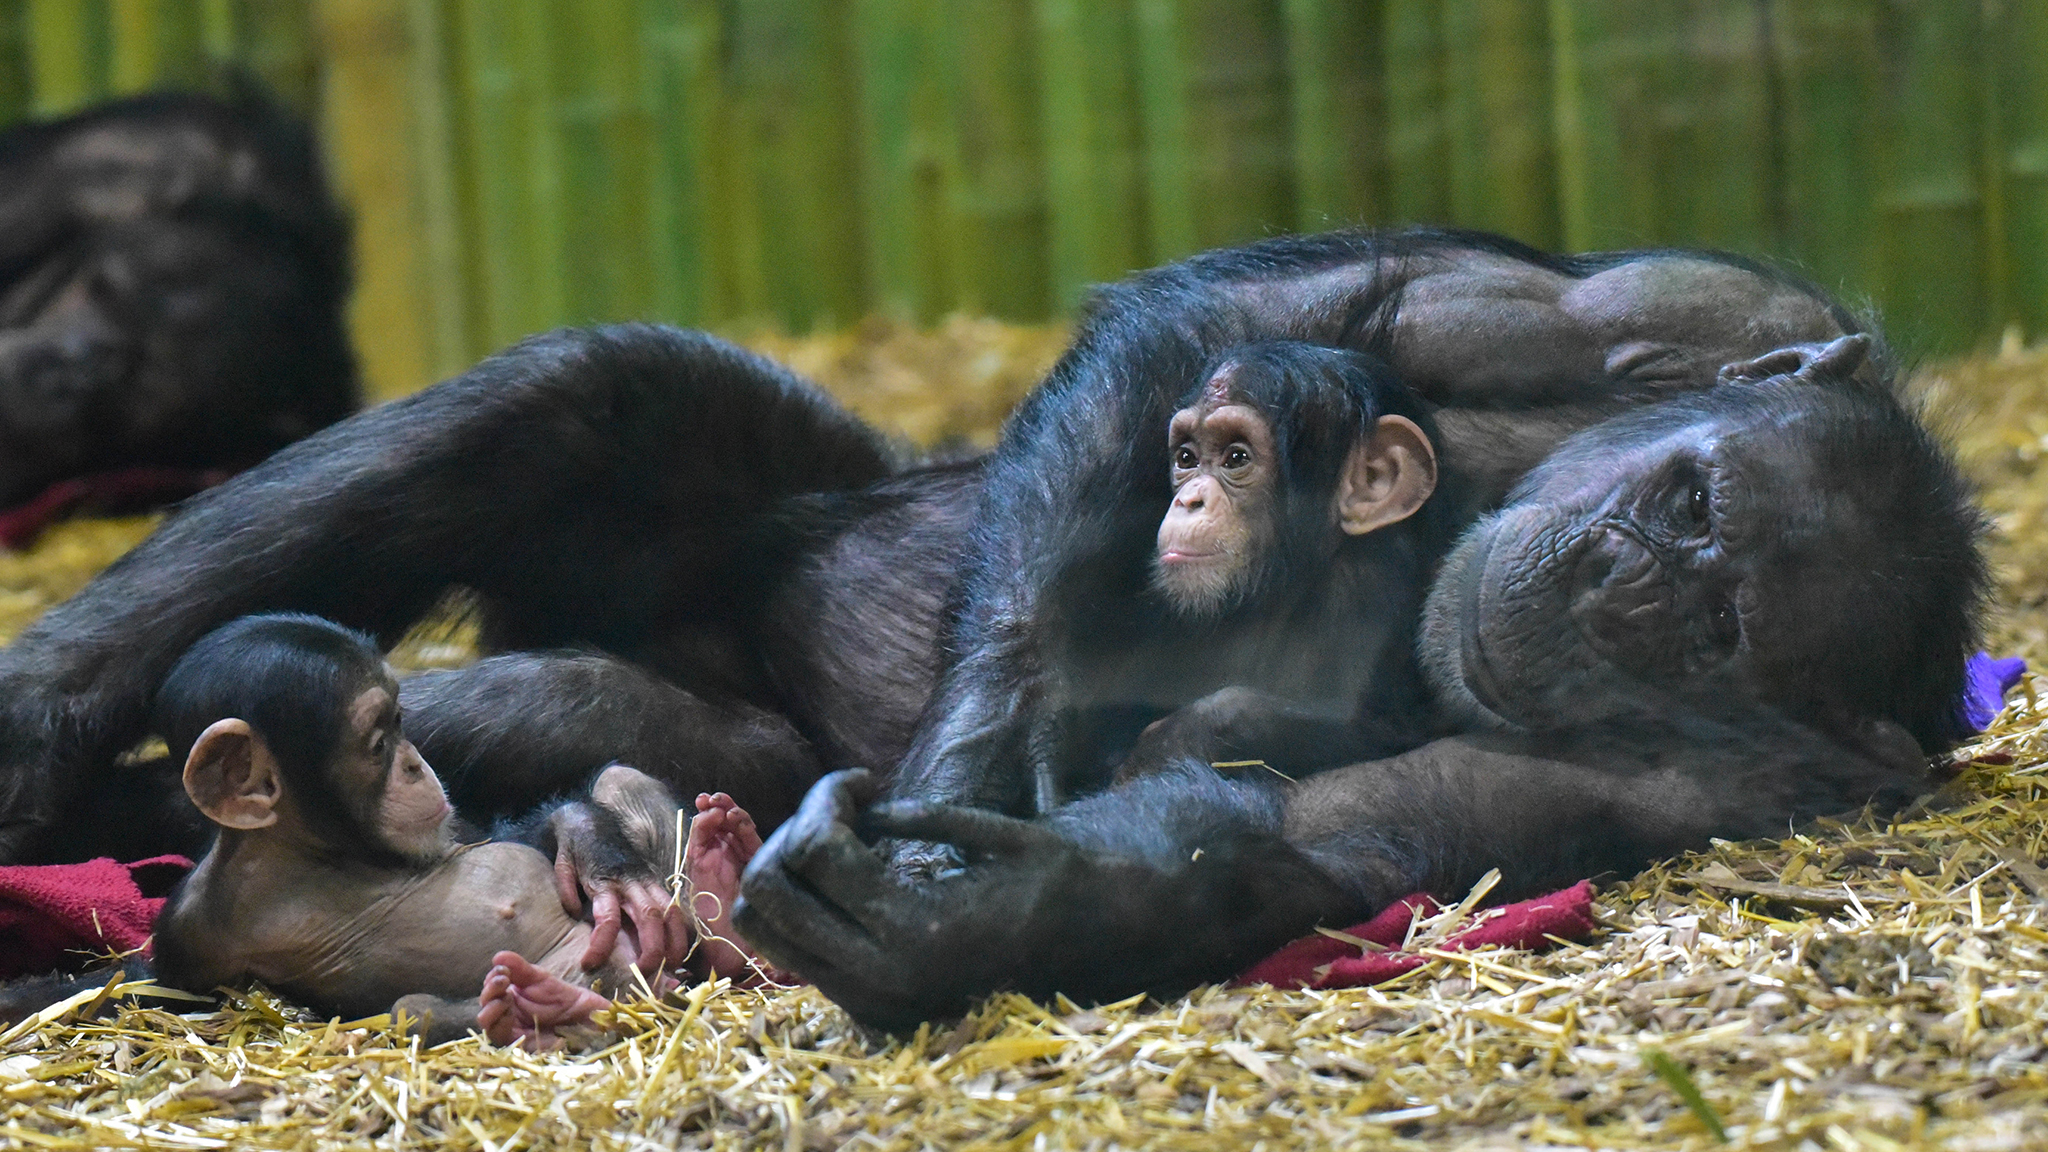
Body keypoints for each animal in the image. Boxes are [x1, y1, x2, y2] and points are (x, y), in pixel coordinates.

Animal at [153, 614, 782, 1045]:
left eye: (402, 723)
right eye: (377, 743)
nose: (414, 764)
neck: (323, 854)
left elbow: (492, 833)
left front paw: (592, 849)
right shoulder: (189, 932)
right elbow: (159, 992)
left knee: (622, 778)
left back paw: (718, 877)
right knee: (418, 1005)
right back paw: (543, 1006)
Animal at [729, 358, 1974, 1020]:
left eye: (1717, 628)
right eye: (1688, 502)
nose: (1617, 581)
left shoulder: (1702, 787)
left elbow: (1316, 834)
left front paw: (992, 911)